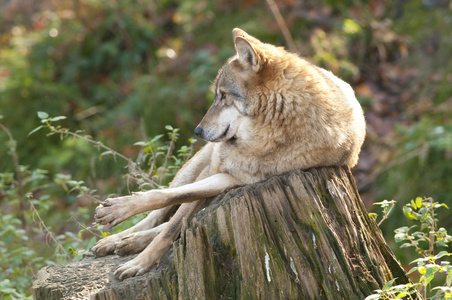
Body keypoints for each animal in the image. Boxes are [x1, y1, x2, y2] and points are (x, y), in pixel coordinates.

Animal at [92, 27, 368, 278]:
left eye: (223, 96)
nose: (197, 130)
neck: (264, 135)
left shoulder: (236, 179)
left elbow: (173, 224)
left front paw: (140, 262)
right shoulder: (213, 170)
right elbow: (169, 204)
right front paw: (119, 216)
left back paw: (130, 243)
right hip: (194, 166)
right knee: (161, 213)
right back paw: (116, 240)